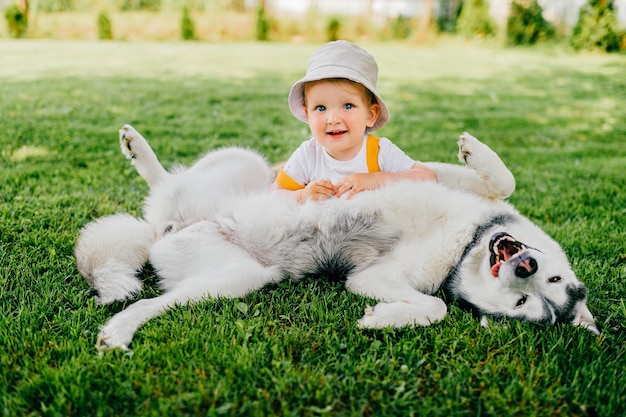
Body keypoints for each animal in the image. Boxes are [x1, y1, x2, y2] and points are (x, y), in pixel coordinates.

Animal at [75, 125, 596, 350]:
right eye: (550, 282)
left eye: (522, 305)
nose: (524, 265)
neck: (465, 242)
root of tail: (162, 229)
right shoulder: (436, 177)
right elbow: (502, 181)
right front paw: (475, 150)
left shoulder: (372, 279)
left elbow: (436, 306)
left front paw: (381, 320)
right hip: (242, 163)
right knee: (166, 182)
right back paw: (137, 148)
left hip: (236, 277)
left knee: (152, 300)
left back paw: (119, 329)